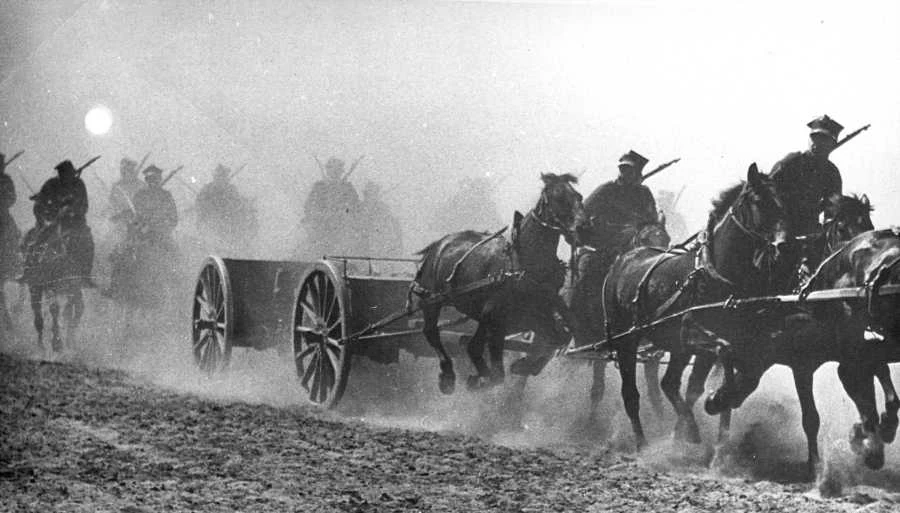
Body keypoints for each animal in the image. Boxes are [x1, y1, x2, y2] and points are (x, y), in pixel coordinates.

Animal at [412, 172, 588, 392]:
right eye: (558, 198)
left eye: (579, 196)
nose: (584, 228)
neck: (523, 263)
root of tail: (439, 244)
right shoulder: (495, 314)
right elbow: (487, 357)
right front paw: (484, 378)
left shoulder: (535, 313)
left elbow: (558, 336)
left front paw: (524, 366)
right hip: (433, 301)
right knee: (432, 332)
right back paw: (448, 374)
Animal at [600, 164, 792, 448]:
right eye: (758, 201)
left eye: (782, 202)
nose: (785, 246)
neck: (716, 276)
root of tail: (622, 260)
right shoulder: (692, 335)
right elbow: (724, 351)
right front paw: (718, 402)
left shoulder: (711, 345)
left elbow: (711, 380)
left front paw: (720, 414)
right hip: (627, 340)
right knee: (631, 394)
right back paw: (643, 443)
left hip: (676, 349)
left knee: (668, 384)